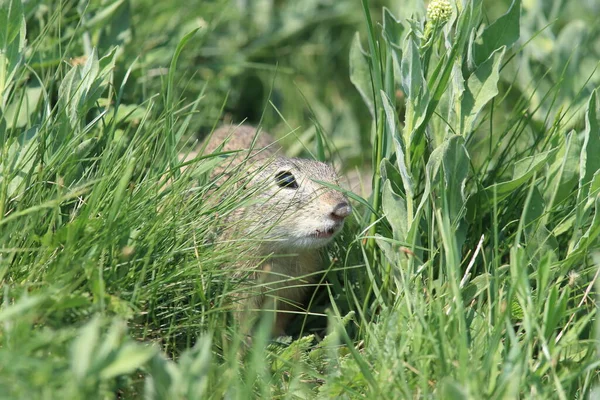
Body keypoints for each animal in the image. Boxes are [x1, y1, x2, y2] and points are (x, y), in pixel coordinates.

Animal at [200, 123, 352, 336]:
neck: (279, 250)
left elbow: (279, 317)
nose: (342, 209)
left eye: (334, 177)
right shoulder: (239, 287)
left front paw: (277, 337)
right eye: (286, 179)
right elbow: (239, 319)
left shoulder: (291, 290)